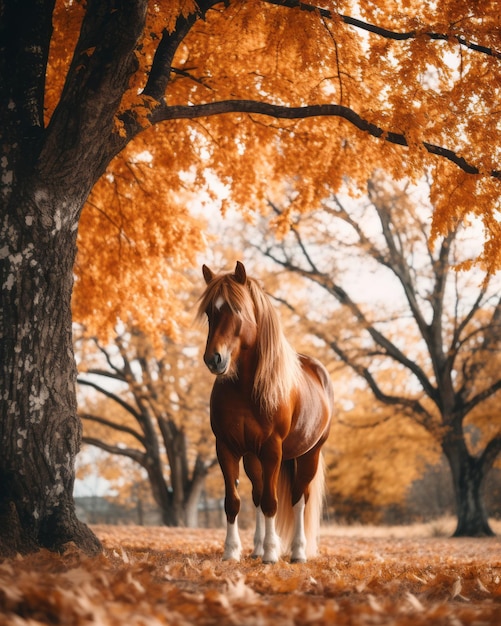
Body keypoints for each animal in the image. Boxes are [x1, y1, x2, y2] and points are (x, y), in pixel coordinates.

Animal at [197, 258, 334, 560]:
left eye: (237, 309)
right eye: (210, 312)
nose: (214, 359)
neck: (246, 389)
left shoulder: (272, 449)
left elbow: (273, 501)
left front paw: (272, 554)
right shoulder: (227, 448)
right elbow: (234, 502)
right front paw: (231, 551)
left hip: (309, 454)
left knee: (299, 499)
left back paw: (297, 552)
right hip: (252, 458)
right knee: (258, 496)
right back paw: (257, 548)